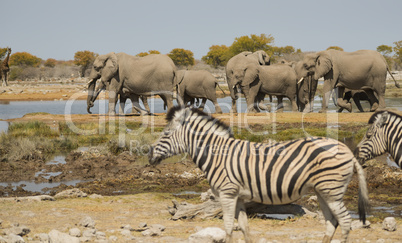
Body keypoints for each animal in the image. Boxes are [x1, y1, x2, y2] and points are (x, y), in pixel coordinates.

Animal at [149, 107, 370, 243]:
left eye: (166, 134)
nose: (149, 155)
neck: (217, 154)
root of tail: (347, 150)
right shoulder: (238, 197)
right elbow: (244, 227)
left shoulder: (227, 193)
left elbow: (228, 227)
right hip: (323, 191)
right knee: (331, 223)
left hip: (331, 190)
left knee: (345, 221)